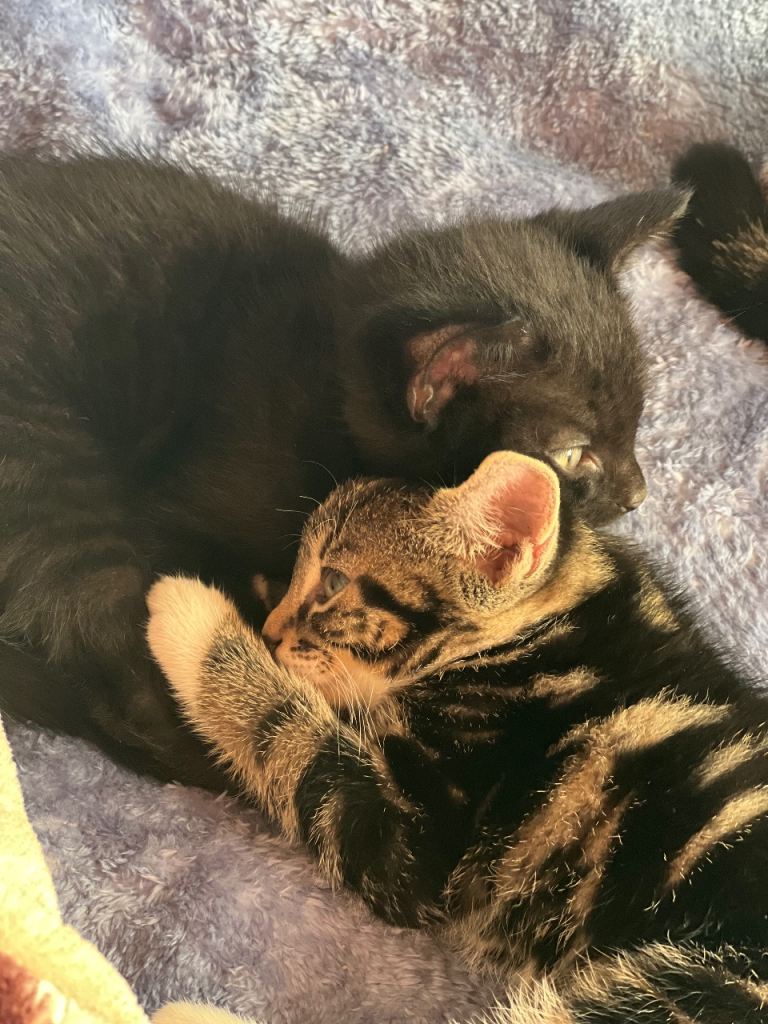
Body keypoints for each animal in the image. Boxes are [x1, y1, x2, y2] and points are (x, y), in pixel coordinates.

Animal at [147, 450, 768, 1023]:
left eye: (333, 582)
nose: (272, 632)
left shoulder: (424, 833)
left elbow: (294, 740)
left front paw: (190, 617)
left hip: (703, 986)